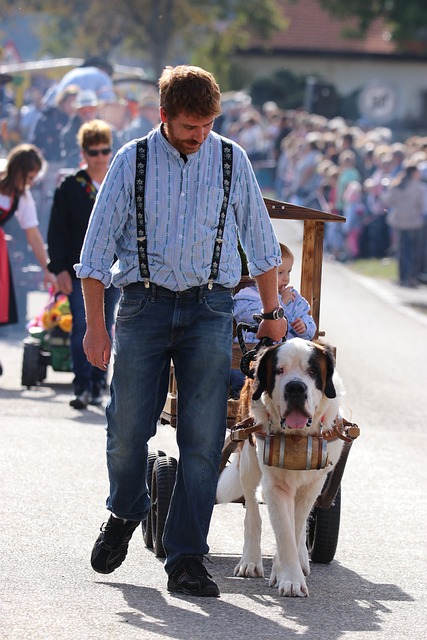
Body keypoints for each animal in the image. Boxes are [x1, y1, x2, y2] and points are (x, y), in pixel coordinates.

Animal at [219, 338, 346, 596]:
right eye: (279, 370)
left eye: (312, 371)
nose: (296, 388)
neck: (297, 438)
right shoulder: (274, 485)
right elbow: (284, 531)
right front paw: (290, 579)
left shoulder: (313, 484)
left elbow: (295, 527)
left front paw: (284, 572)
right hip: (248, 459)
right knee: (252, 514)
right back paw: (250, 561)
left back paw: (302, 559)